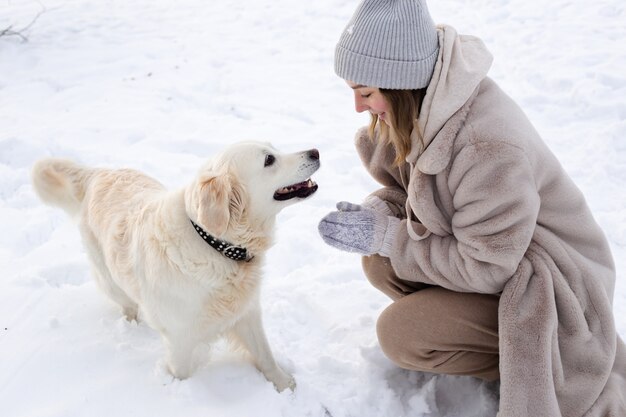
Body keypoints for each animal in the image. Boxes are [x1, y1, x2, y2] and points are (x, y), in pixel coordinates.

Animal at [31, 142, 320, 390]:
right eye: (269, 159)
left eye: (274, 148)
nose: (315, 152)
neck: (215, 244)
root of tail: (99, 173)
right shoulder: (180, 337)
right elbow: (181, 373)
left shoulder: (247, 313)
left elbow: (265, 354)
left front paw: (284, 384)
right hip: (109, 277)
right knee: (126, 302)